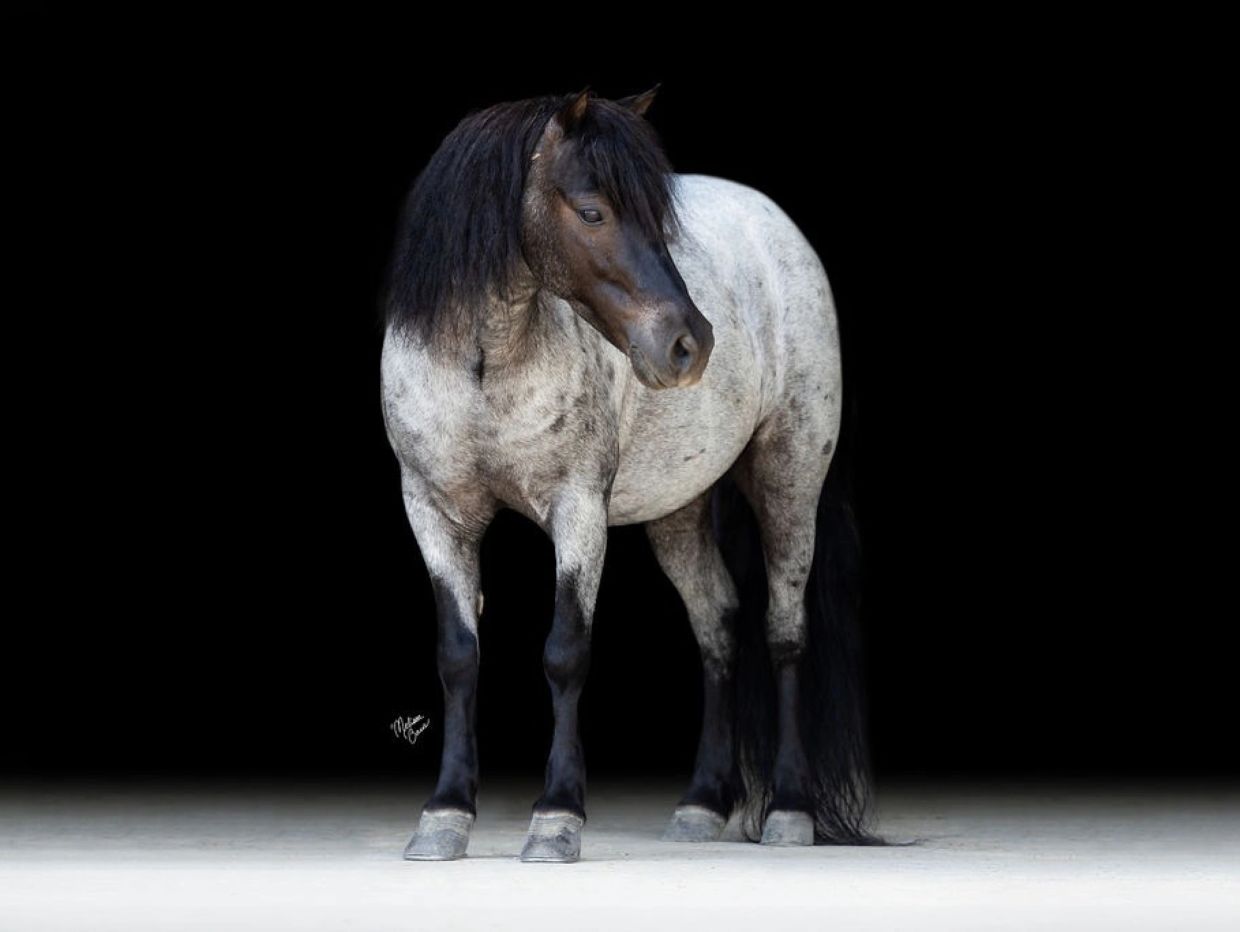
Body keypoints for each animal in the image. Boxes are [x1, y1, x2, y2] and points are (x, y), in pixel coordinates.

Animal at [379, 86, 881, 862]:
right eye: (592, 211)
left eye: (660, 220)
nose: (689, 344)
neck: (485, 362)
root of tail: (776, 225)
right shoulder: (434, 511)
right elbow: (459, 655)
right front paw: (444, 816)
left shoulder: (578, 509)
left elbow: (565, 652)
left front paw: (556, 818)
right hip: (680, 511)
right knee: (718, 624)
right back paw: (701, 805)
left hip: (790, 478)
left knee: (784, 633)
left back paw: (790, 812)